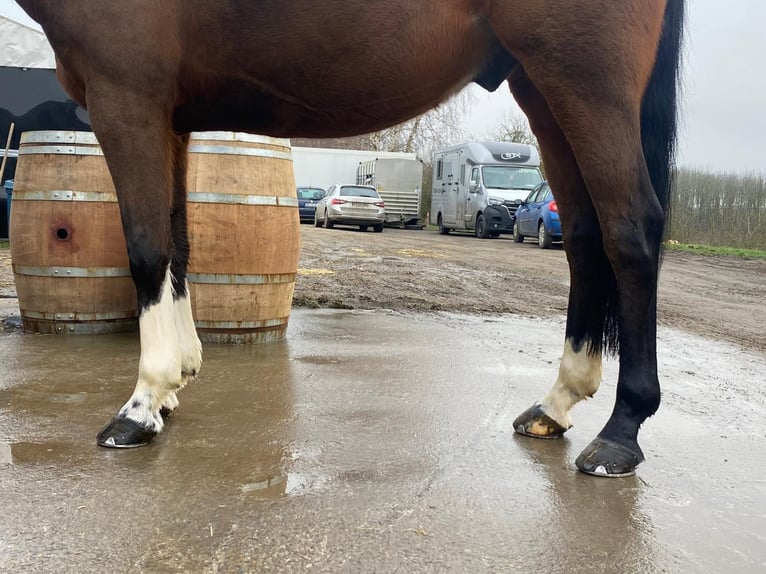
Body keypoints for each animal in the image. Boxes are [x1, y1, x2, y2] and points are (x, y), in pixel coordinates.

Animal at [16, 0, 684, 476]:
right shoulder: (171, 117)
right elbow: (178, 243)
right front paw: (173, 385)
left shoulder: (127, 96)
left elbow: (147, 245)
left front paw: (141, 405)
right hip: (542, 87)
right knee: (584, 237)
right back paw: (556, 405)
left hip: (586, 82)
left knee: (630, 232)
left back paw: (619, 436)